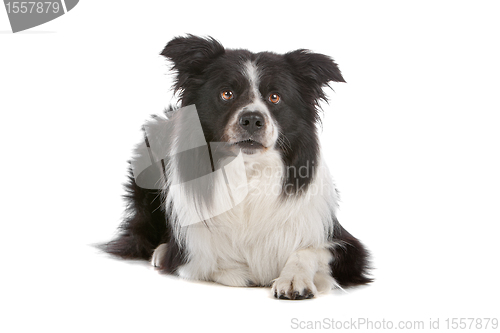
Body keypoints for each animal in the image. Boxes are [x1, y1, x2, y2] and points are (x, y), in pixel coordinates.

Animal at [104, 35, 372, 298]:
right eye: (227, 93)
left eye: (275, 97)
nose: (252, 119)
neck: (248, 170)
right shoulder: (194, 255)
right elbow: (209, 262)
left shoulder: (347, 247)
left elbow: (308, 251)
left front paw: (294, 279)